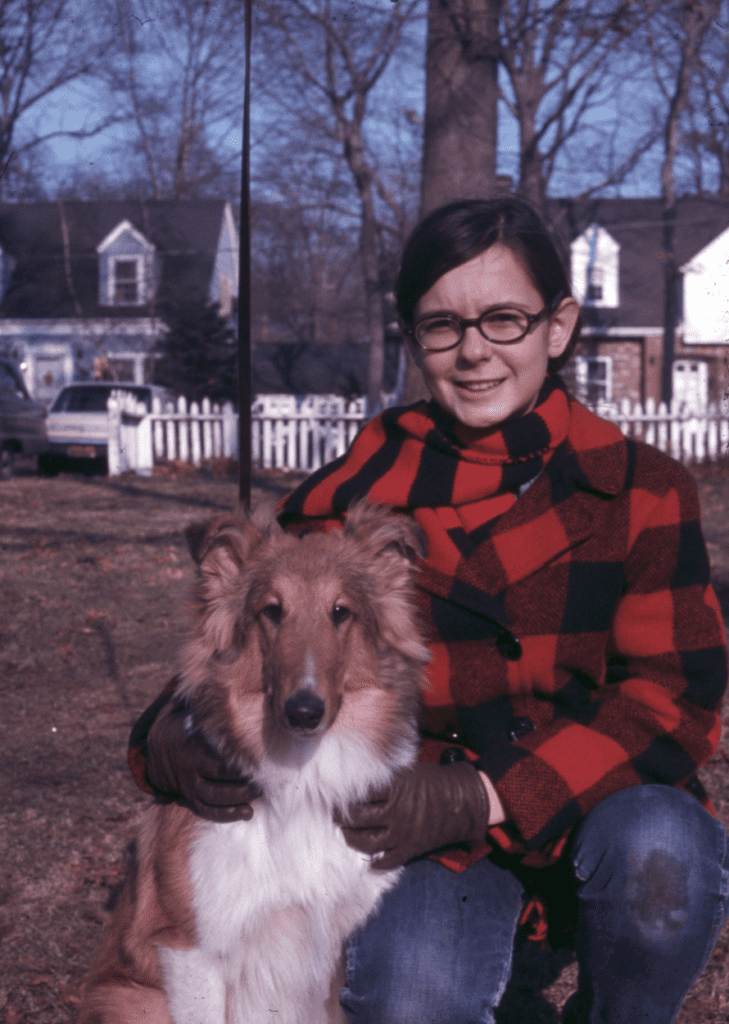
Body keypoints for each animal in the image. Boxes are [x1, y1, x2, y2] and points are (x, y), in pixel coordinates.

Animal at [78, 501, 432, 1024]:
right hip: (131, 999)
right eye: (272, 611)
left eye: (341, 612)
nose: (304, 711)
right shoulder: (191, 949)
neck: (301, 780)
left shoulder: (333, 955)